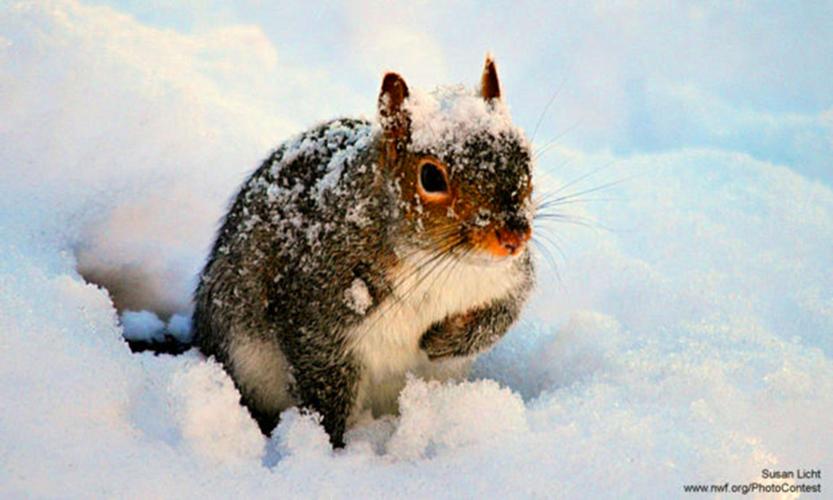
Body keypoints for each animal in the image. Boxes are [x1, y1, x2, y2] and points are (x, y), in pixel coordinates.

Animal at [192, 55, 535, 447]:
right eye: (431, 178)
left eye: (525, 158)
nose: (514, 237)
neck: (441, 262)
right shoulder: (320, 308)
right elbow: (324, 381)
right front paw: (330, 446)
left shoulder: (509, 279)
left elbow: (500, 316)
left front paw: (440, 341)